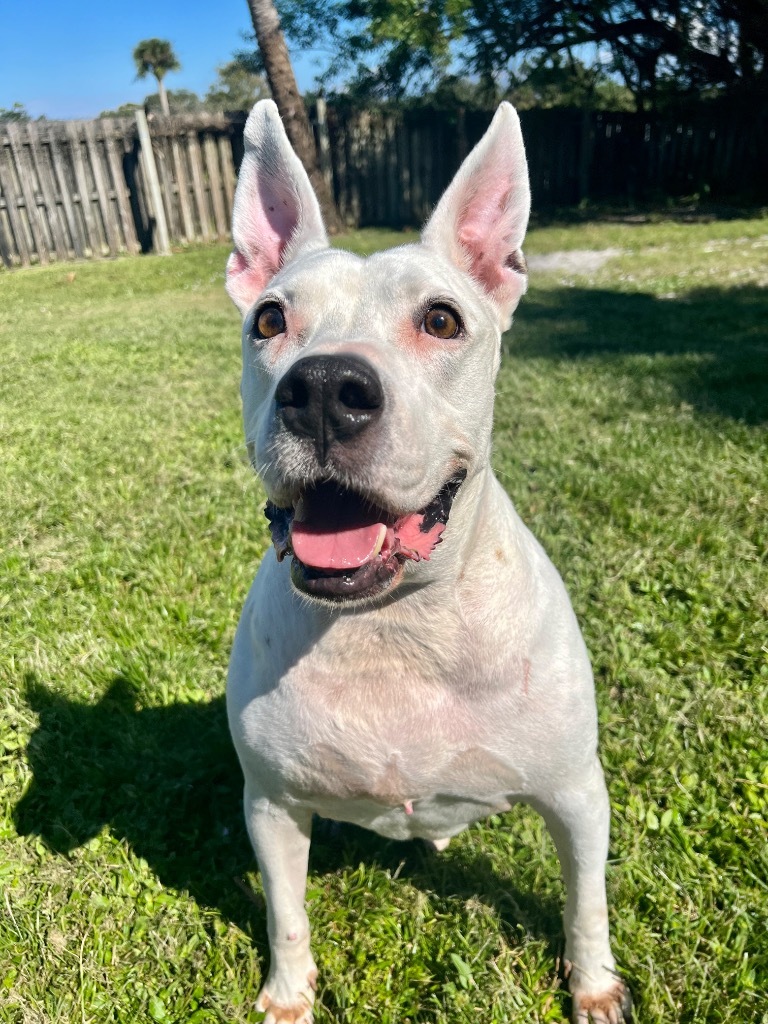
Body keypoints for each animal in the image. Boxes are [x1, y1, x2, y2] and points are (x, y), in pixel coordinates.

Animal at [222, 97, 630, 1024]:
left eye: (442, 319)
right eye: (270, 320)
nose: (324, 389)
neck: (393, 621)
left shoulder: (578, 797)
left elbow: (586, 902)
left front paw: (592, 986)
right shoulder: (270, 806)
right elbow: (285, 911)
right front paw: (287, 995)